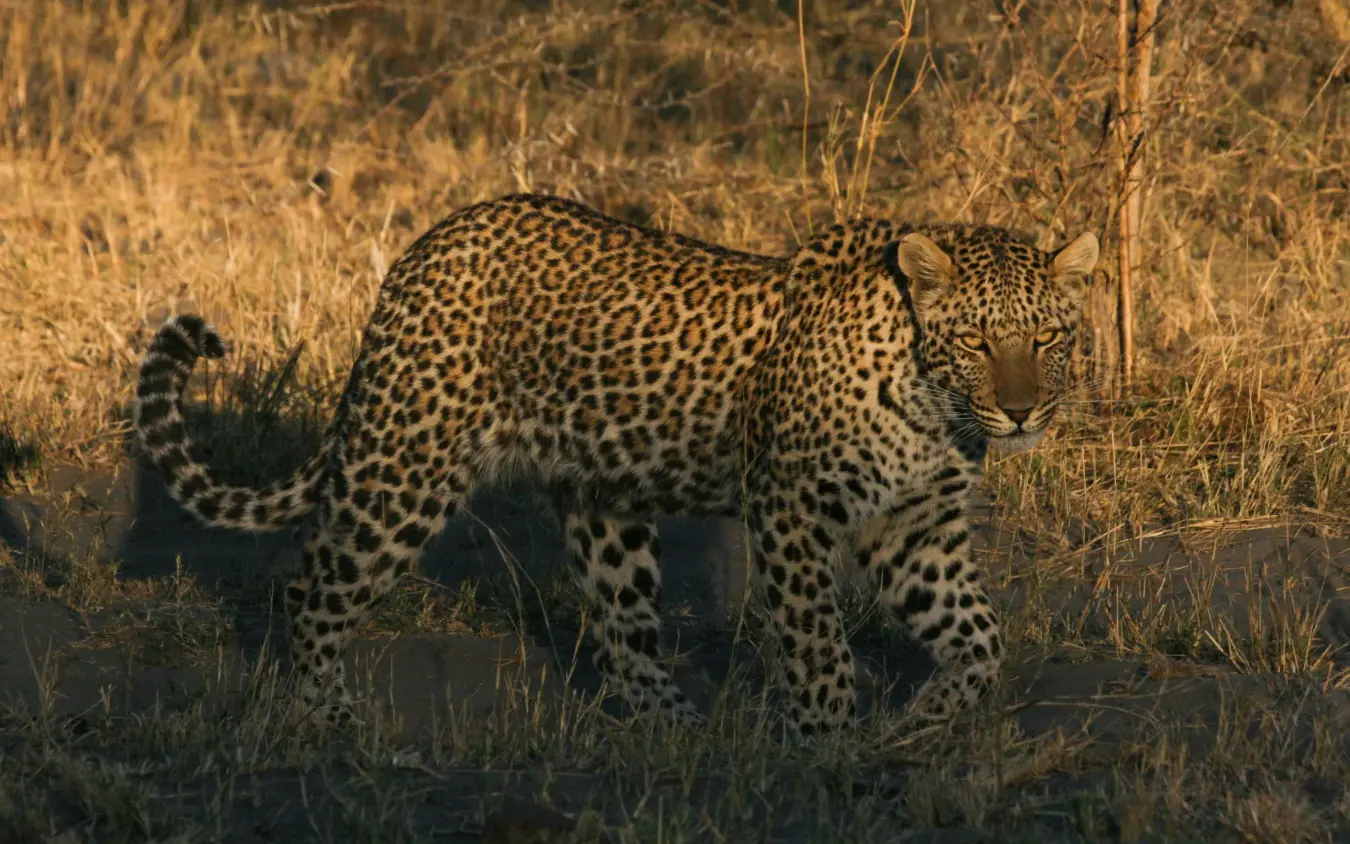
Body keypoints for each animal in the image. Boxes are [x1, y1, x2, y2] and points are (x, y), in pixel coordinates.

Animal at [134, 193, 1099, 735]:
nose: (1024, 410)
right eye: (979, 341)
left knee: (621, 630)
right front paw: (827, 744)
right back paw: (325, 715)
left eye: (1049, 337)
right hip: (405, 465)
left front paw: (924, 721)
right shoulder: (788, 507)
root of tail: (426, 246)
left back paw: (680, 729)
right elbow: (819, 645)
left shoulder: (916, 527)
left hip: (604, 503)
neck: (937, 408)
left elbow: (979, 637)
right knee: (314, 583)